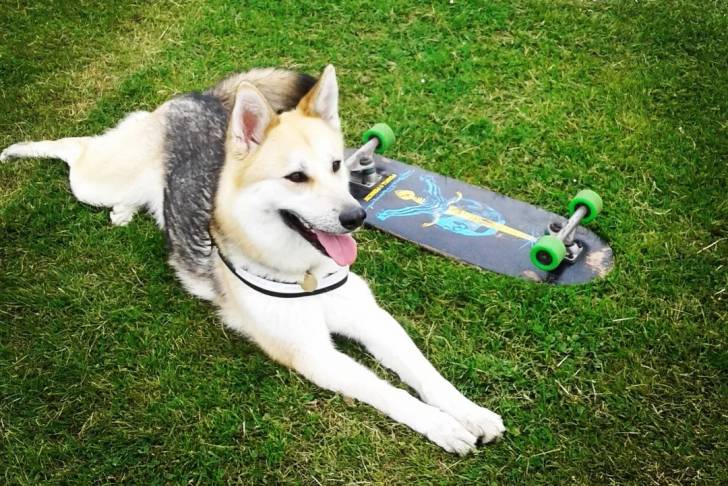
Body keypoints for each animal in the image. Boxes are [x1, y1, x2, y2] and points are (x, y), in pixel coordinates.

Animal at [1, 65, 505, 454]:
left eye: (337, 166)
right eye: (296, 177)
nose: (356, 217)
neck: (303, 274)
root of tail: (199, 97)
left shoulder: (373, 321)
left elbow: (425, 374)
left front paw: (468, 410)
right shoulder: (313, 354)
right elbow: (392, 393)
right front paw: (442, 425)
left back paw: (125, 211)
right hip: (96, 181)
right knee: (76, 150)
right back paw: (21, 149)